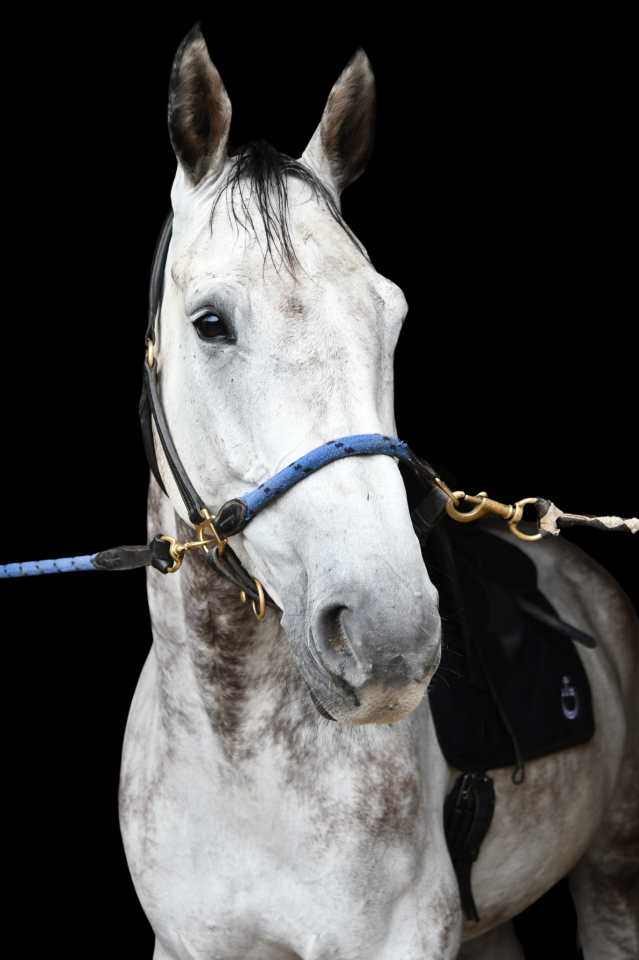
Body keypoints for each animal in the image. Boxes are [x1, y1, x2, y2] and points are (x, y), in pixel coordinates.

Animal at [119, 25, 639, 959]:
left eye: (390, 318)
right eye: (210, 322)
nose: (389, 639)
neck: (233, 755)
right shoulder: (185, 946)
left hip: (612, 876)